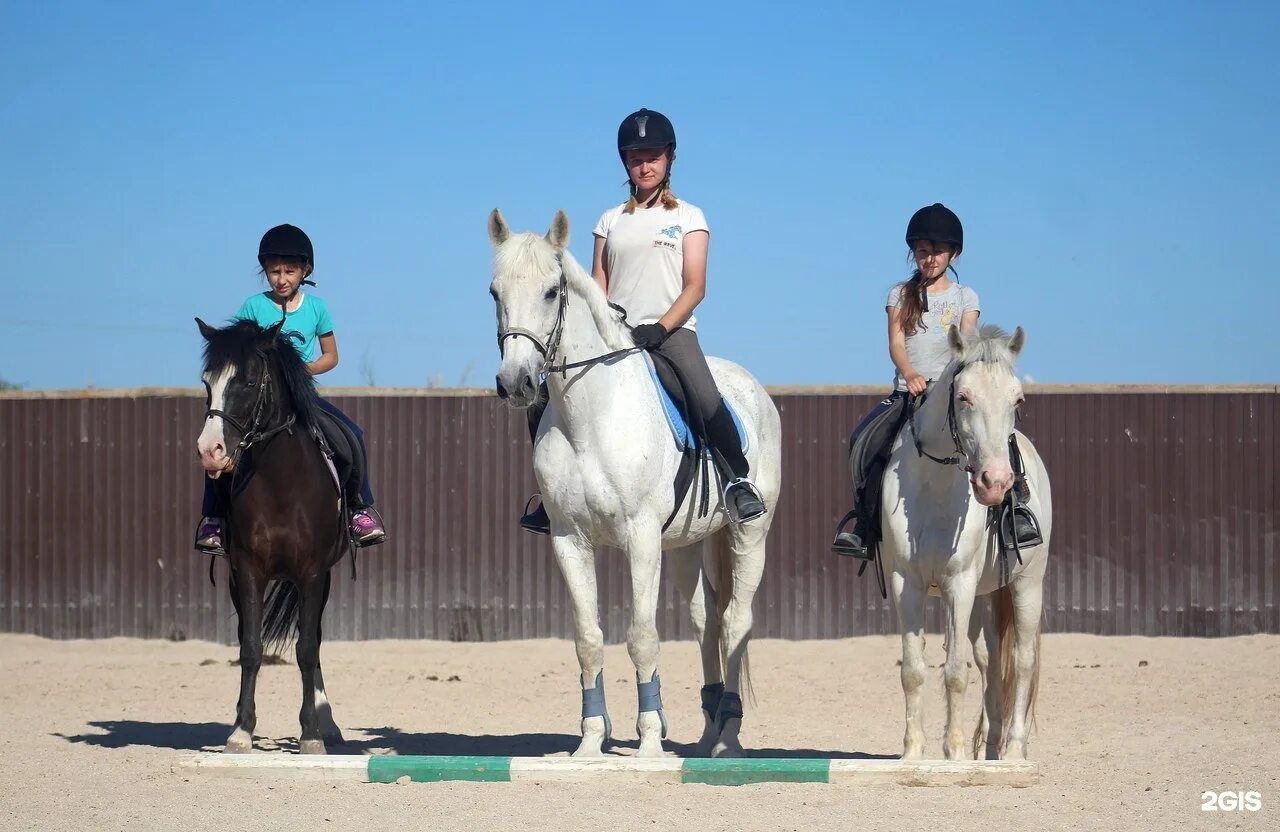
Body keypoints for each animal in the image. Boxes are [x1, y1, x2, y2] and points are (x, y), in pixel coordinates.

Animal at [194, 316, 348, 752]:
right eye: (206, 381)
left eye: (247, 381)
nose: (209, 451)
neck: (281, 482)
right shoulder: (247, 570)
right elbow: (250, 647)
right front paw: (241, 730)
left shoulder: (312, 573)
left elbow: (307, 648)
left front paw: (312, 734)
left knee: (313, 639)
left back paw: (327, 723)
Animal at [483, 208, 778, 757]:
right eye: (494, 292)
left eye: (552, 291)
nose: (516, 383)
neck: (591, 416)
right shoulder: (569, 540)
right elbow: (588, 639)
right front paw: (590, 742)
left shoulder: (640, 537)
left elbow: (642, 636)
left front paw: (649, 743)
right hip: (684, 543)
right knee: (707, 621)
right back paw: (707, 733)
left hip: (749, 533)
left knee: (736, 622)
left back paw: (727, 736)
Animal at [880, 323, 1049, 757]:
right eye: (964, 396)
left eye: (1018, 399)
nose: (996, 483)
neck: (937, 486)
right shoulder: (907, 582)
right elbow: (913, 670)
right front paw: (912, 754)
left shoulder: (960, 582)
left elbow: (956, 671)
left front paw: (954, 755)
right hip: (987, 595)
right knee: (992, 661)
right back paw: (990, 749)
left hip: (1026, 585)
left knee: (1022, 660)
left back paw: (1013, 753)